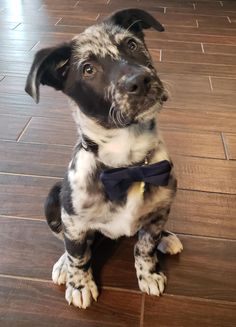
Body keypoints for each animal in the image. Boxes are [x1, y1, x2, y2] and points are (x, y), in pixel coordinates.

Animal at [26, 8, 184, 310]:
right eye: (88, 69)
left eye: (132, 44)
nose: (140, 81)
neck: (128, 166)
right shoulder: (74, 224)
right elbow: (78, 255)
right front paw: (79, 284)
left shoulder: (160, 210)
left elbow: (145, 245)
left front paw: (149, 273)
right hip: (52, 200)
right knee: (69, 244)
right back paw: (63, 266)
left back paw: (167, 239)